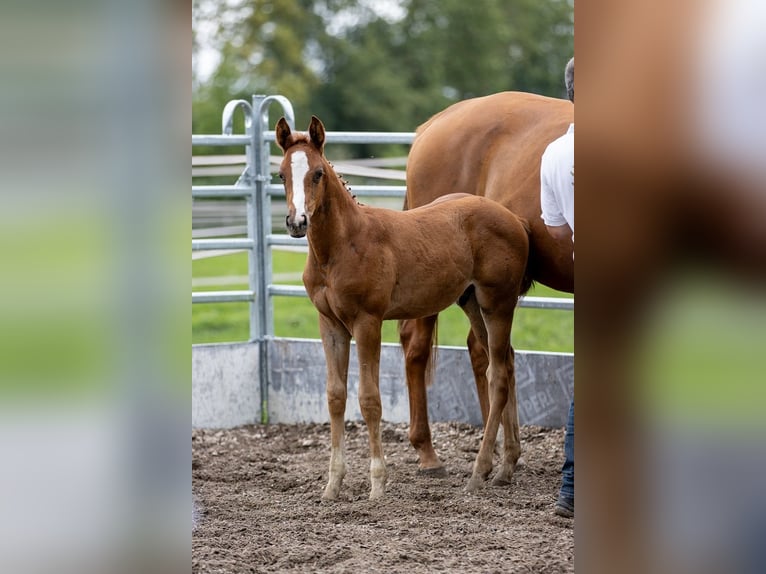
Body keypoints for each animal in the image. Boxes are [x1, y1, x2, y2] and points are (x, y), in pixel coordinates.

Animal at [276, 116, 536, 500]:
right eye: (281, 174)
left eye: (318, 173)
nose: (297, 223)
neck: (341, 246)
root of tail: (515, 220)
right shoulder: (330, 324)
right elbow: (335, 397)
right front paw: (332, 486)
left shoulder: (367, 322)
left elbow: (369, 399)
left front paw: (377, 485)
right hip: (473, 303)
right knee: (508, 362)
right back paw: (505, 466)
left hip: (498, 303)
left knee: (499, 375)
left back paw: (479, 473)